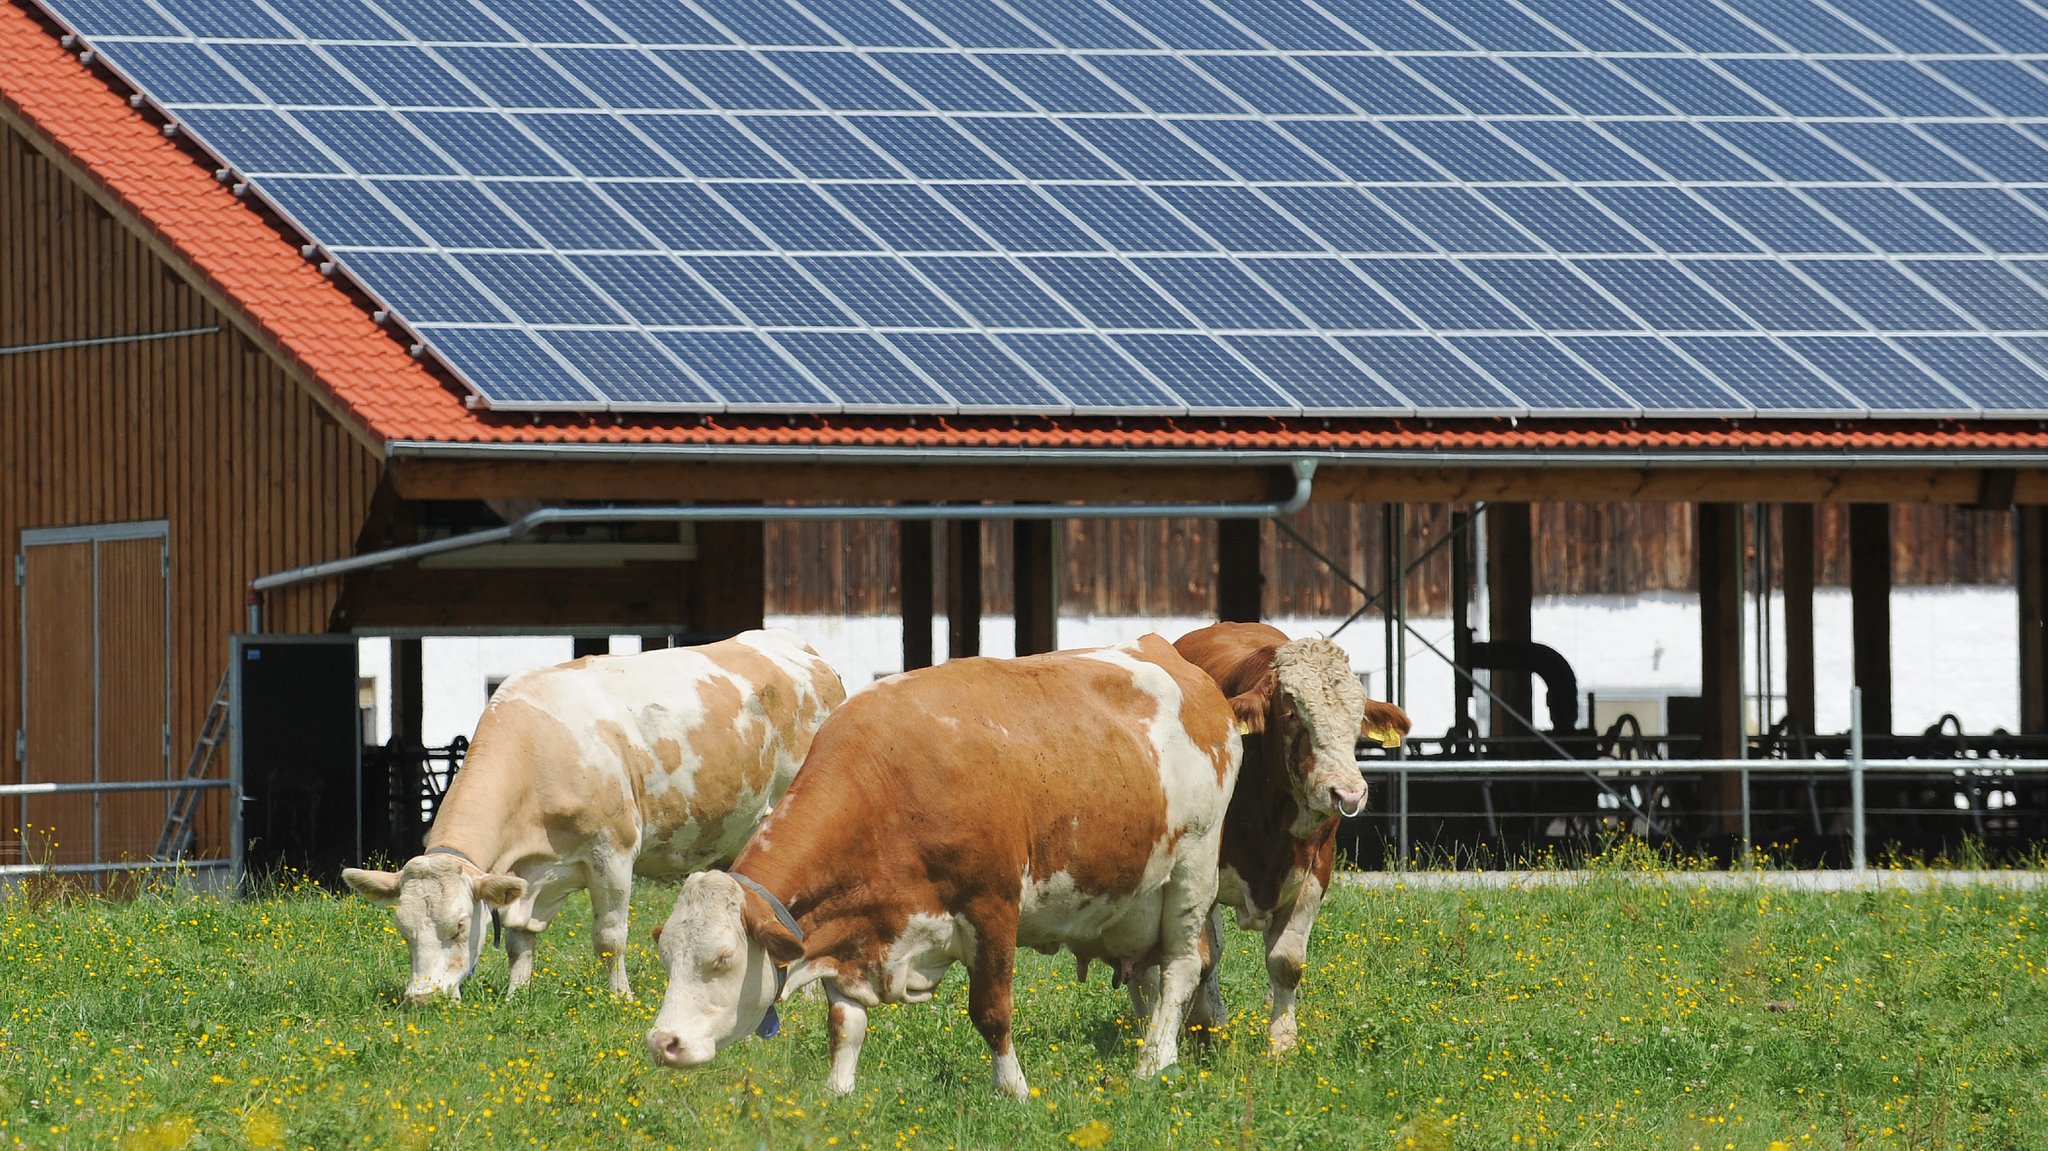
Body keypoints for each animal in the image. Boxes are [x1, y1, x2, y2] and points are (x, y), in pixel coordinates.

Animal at [339, 630, 843, 999]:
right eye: (404, 929)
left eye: (460, 924)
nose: (422, 998)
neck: (537, 752)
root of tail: (799, 648)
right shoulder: (527, 873)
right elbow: (520, 939)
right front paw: (516, 996)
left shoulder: (612, 853)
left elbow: (609, 936)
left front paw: (620, 998)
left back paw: (806, 996)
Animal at [647, 634, 1236, 1089]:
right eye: (667, 958)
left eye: (723, 959)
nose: (661, 1042)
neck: (889, 784)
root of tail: (1170, 655)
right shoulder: (850, 928)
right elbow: (845, 1023)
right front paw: (837, 1093)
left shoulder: (992, 905)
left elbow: (992, 1012)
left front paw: (1014, 1091)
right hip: (1139, 900)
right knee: (1155, 978)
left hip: (1193, 871)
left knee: (1182, 967)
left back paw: (1152, 1064)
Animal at [1171, 622, 1409, 1056]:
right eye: (1293, 714)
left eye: (1357, 721)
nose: (1348, 793)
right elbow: (1206, 958)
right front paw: (1205, 1028)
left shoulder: (1315, 873)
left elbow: (1286, 961)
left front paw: (1283, 1042)